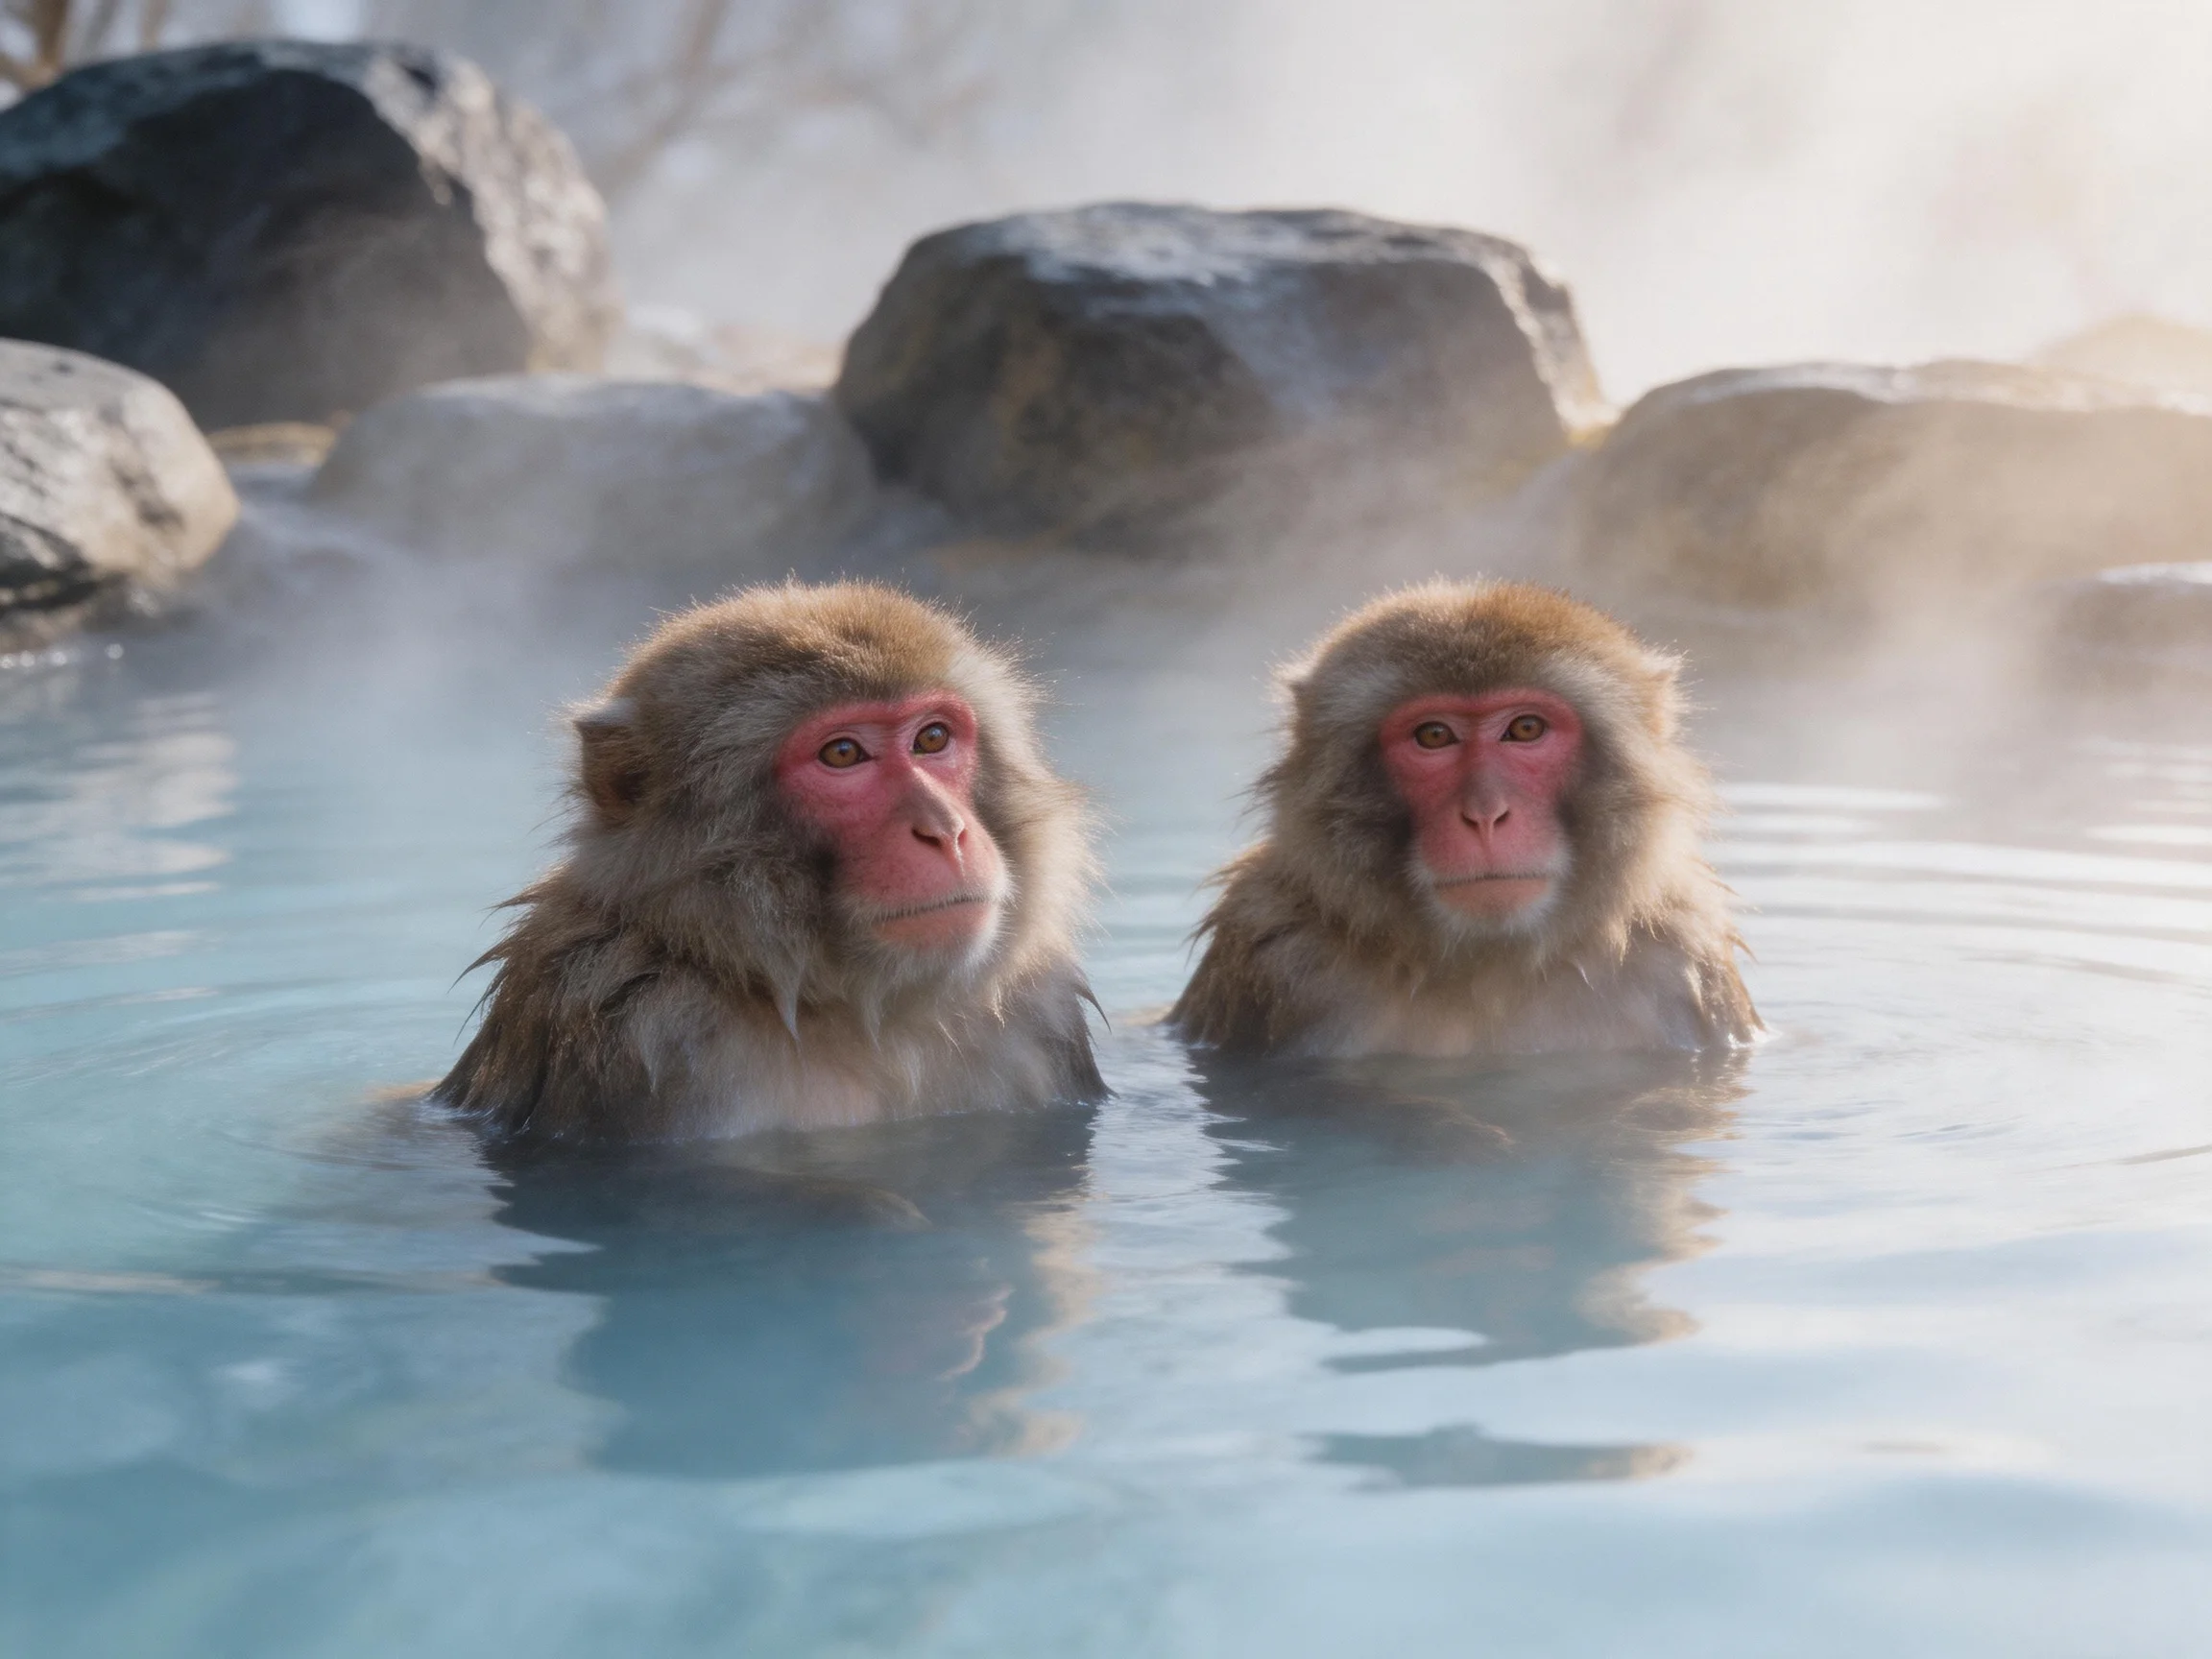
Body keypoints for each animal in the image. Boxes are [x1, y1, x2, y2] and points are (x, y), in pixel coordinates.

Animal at [1170, 579, 1758, 1058]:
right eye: (1434, 735)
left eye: (1525, 728)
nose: (1485, 815)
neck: (1491, 973)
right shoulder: (1273, 951)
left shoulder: (1682, 956)